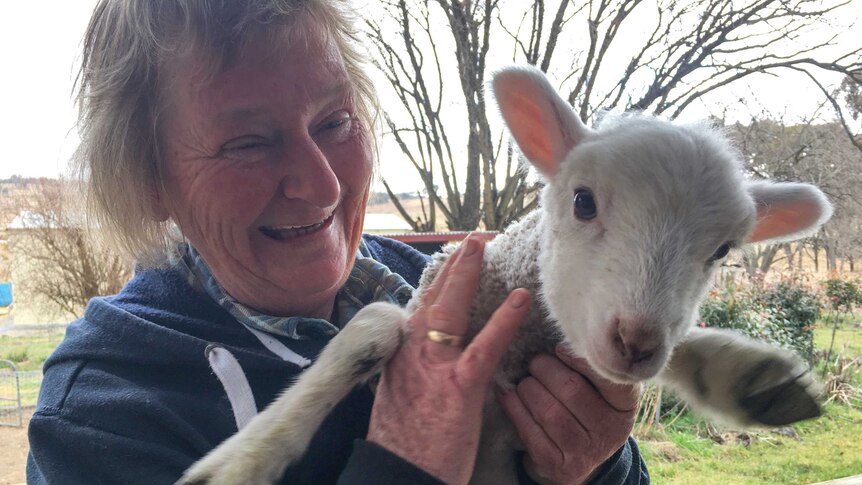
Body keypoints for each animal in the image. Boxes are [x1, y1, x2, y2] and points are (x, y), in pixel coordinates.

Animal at [184, 65, 836, 484]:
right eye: (582, 202)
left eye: (722, 250)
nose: (637, 343)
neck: (519, 346)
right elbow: (374, 322)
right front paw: (240, 461)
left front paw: (747, 376)